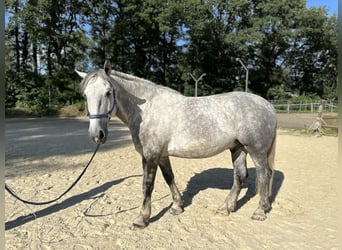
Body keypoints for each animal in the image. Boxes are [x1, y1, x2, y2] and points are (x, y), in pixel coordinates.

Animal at [76, 61, 276, 229]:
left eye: (108, 92)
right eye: (85, 95)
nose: (97, 135)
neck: (147, 110)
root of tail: (267, 105)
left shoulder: (151, 155)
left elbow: (147, 184)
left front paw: (142, 218)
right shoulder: (162, 155)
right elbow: (169, 177)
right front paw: (177, 206)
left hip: (256, 150)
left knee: (264, 174)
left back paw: (259, 211)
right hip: (238, 148)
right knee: (240, 176)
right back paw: (225, 208)